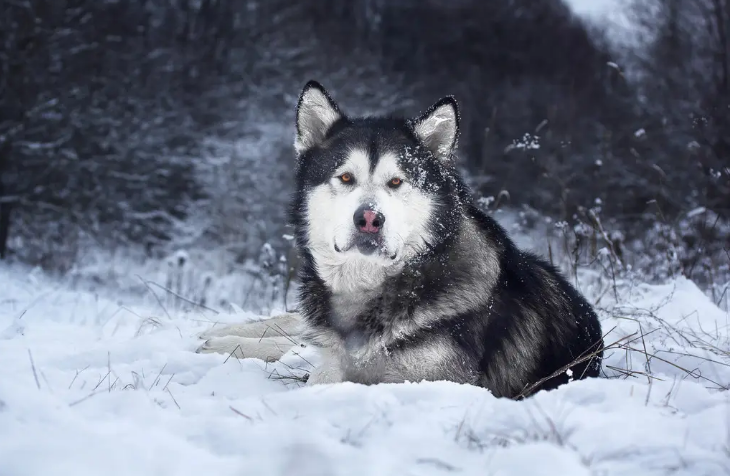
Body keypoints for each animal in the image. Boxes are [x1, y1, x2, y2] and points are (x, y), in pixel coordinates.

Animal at [196, 81, 600, 398]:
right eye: (346, 178)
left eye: (396, 182)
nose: (369, 219)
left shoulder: (437, 380)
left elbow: (324, 373)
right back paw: (220, 335)